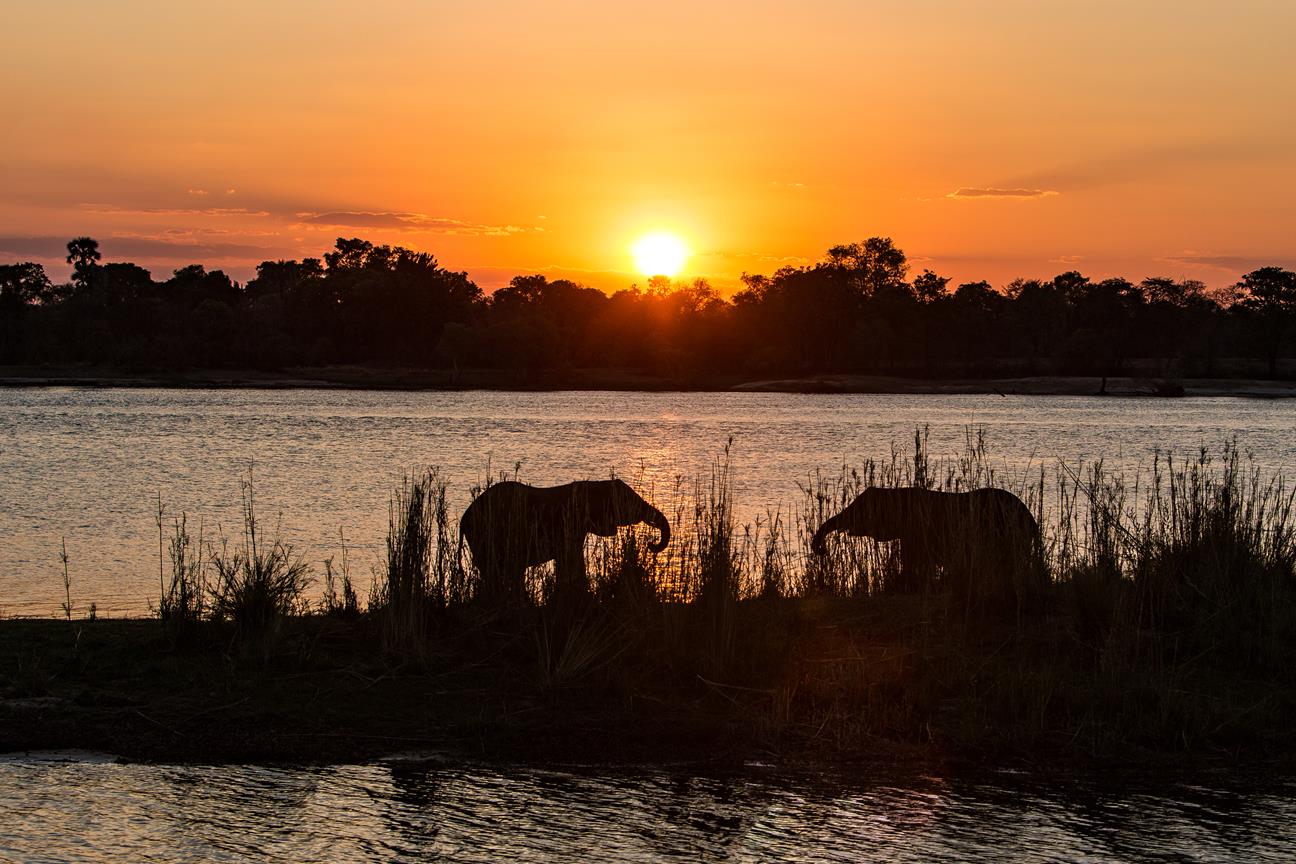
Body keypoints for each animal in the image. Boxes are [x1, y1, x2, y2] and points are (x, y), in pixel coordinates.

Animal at [459, 478, 670, 606]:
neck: (594, 484)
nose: (651, 544)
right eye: (627, 501)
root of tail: (464, 518)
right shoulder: (569, 523)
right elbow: (570, 558)